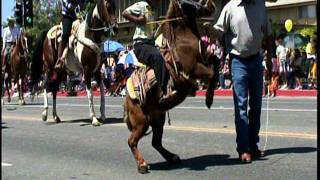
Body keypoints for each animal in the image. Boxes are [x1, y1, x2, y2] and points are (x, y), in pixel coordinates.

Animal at [123, 0, 220, 173]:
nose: (211, 4)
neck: (183, 40)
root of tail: (127, 101)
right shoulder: (194, 68)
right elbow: (210, 74)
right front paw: (208, 99)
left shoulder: (205, 58)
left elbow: (217, 62)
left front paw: (207, 96)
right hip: (141, 122)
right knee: (132, 141)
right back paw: (142, 165)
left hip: (158, 119)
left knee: (156, 142)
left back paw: (172, 157)